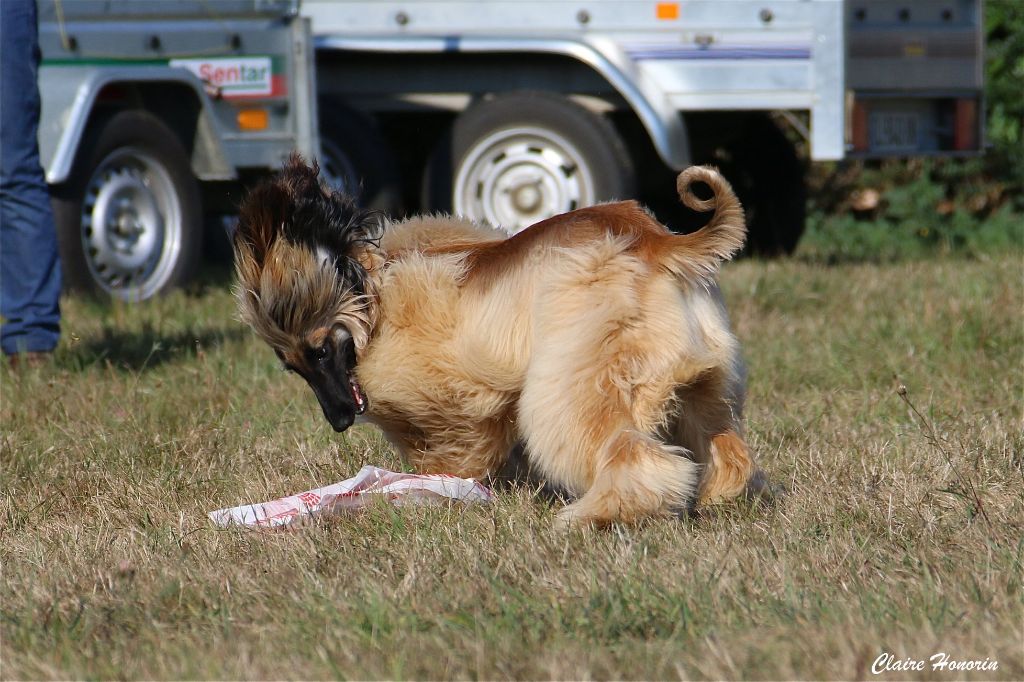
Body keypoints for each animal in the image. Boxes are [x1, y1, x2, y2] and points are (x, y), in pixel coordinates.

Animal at [235, 156, 765, 528]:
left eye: (320, 351)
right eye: (293, 367)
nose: (340, 420)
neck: (375, 285)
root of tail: (658, 242)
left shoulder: (451, 389)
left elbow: (455, 436)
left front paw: (440, 480)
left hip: (579, 373)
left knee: (631, 455)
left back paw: (600, 515)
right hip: (706, 378)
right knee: (726, 445)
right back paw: (720, 496)